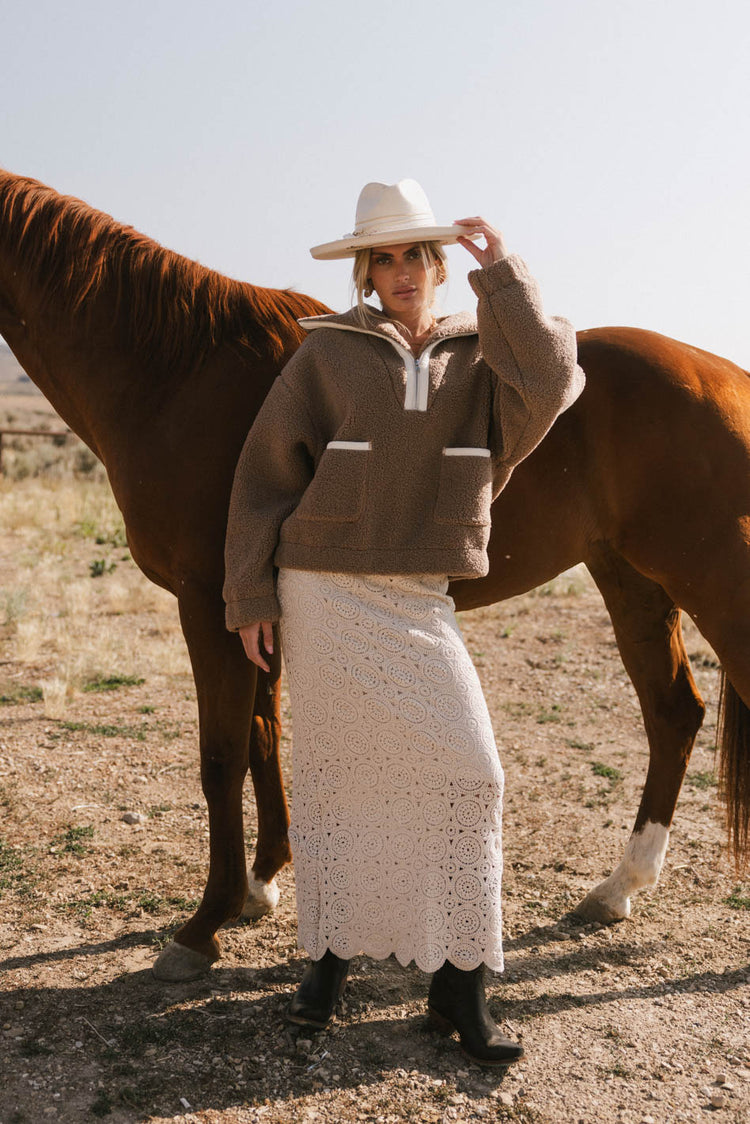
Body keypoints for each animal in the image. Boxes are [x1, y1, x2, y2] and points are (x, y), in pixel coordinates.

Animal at [1, 166, 750, 984]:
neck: (175, 376)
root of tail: (728, 377)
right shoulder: (253, 607)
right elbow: (264, 738)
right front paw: (261, 886)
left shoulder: (207, 605)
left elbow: (222, 756)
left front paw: (203, 927)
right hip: (632, 581)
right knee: (673, 712)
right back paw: (618, 888)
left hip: (711, 582)